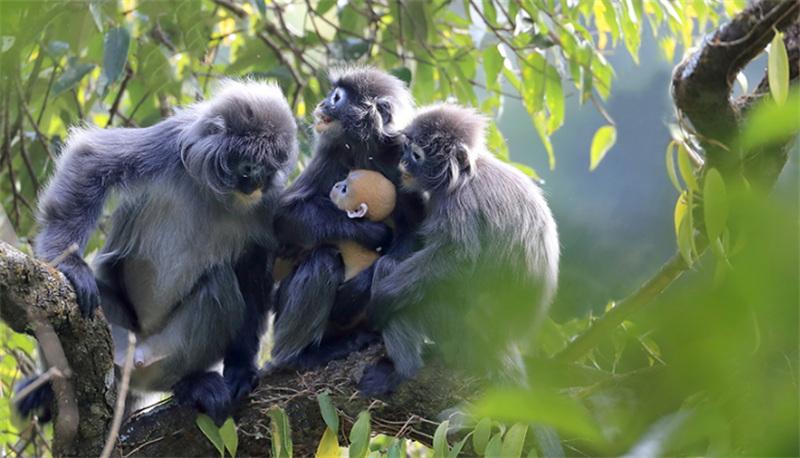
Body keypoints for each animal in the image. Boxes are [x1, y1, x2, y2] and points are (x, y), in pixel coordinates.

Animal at [15, 79, 296, 426]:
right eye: (248, 168)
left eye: (267, 174)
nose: (254, 186)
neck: (215, 194)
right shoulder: (171, 145)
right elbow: (91, 158)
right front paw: (69, 262)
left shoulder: (267, 208)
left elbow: (253, 281)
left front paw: (242, 367)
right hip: (118, 328)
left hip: (164, 357)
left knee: (220, 282)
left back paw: (191, 383)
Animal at [270, 66, 424, 370]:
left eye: (337, 97)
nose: (322, 103)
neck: (366, 148)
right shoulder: (332, 151)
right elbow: (285, 215)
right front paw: (369, 232)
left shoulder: (401, 158)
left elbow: (417, 231)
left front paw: (355, 292)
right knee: (322, 260)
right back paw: (297, 357)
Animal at [360, 104, 560, 398]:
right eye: (406, 147)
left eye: (416, 154)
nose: (404, 163)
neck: (463, 177)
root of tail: (502, 342)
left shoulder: (459, 204)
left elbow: (457, 257)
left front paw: (380, 300)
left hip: (459, 328)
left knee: (393, 278)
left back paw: (403, 371)